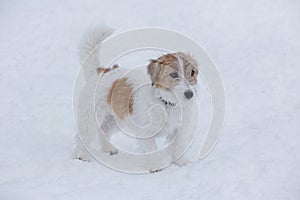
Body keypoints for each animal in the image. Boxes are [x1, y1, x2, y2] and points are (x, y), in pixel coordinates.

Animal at [73, 26, 198, 167]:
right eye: (173, 75)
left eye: (192, 73)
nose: (190, 94)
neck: (166, 102)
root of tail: (100, 71)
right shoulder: (147, 132)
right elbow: (152, 149)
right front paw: (155, 166)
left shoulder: (178, 130)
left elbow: (178, 146)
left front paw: (181, 163)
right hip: (90, 117)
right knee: (84, 135)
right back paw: (80, 156)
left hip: (114, 119)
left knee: (103, 131)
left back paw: (108, 148)